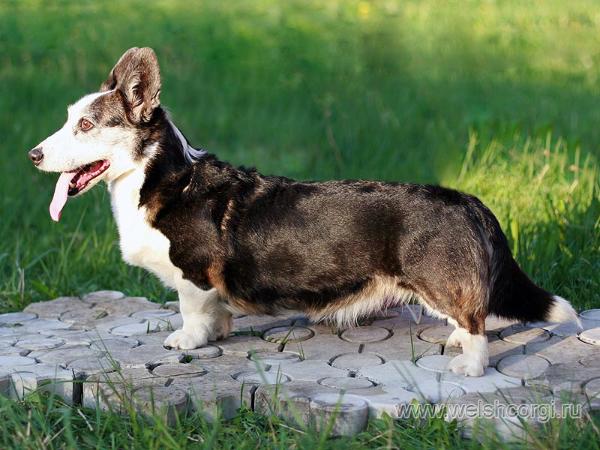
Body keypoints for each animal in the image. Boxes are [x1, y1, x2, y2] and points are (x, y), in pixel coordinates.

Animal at [29, 47, 580, 376]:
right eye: (68, 120)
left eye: (85, 125)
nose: (32, 155)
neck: (160, 178)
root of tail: (471, 202)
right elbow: (217, 315)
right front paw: (217, 334)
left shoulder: (193, 276)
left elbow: (192, 311)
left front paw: (187, 340)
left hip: (438, 280)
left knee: (476, 319)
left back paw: (470, 363)